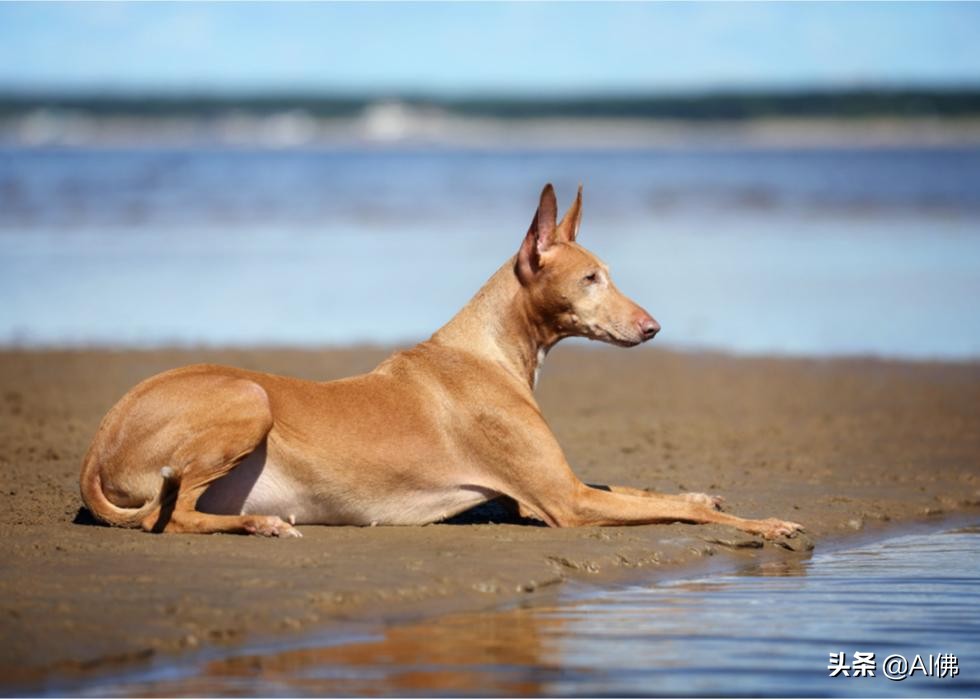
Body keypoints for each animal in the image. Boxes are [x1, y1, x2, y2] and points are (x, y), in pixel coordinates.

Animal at [80, 185, 804, 540]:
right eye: (592, 278)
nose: (653, 328)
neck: (488, 352)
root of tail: (100, 437)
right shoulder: (561, 502)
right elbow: (688, 513)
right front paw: (763, 523)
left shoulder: (563, 487)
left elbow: (648, 491)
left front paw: (701, 490)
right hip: (249, 400)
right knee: (169, 516)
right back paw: (258, 522)